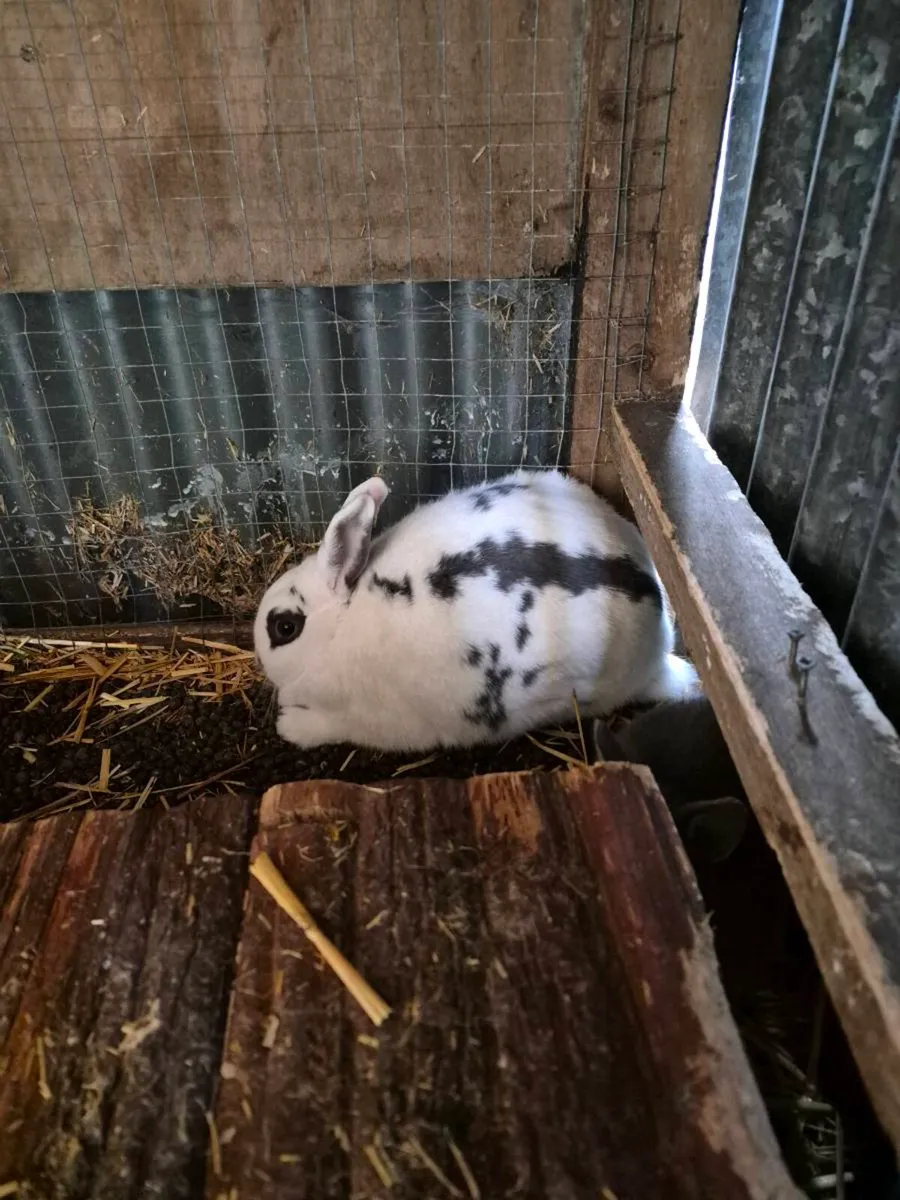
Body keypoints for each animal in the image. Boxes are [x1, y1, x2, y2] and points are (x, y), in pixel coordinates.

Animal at [254, 469, 700, 753]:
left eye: (285, 627)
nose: (259, 652)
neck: (340, 627)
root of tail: (660, 647)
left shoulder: (373, 720)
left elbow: (327, 727)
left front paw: (287, 725)